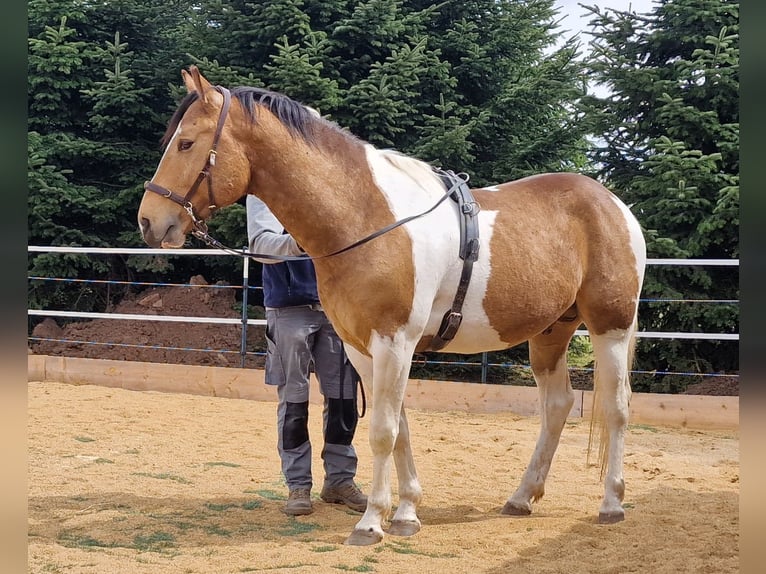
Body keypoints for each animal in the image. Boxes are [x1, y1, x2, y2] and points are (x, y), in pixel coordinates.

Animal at [137, 66, 646, 546]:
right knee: (558, 406)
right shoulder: (362, 349)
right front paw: (404, 515)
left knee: (617, 406)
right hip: (551, 331)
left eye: (185, 143)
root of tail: (614, 205)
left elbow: (382, 429)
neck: (367, 218)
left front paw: (370, 523)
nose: (149, 221)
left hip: (609, 326)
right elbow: (398, 428)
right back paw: (521, 498)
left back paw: (611, 504)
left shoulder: (395, 342)